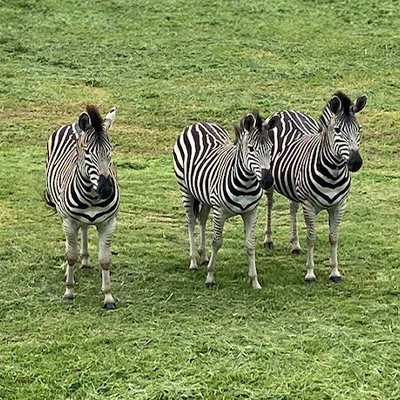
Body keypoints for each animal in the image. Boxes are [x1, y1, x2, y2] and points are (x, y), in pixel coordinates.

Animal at [46, 104, 119, 308]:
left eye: (110, 151)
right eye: (87, 152)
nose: (106, 188)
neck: (92, 197)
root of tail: (75, 125)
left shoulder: (108, 223)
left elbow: (105, 260)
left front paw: (108, 296)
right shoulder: (70, 221)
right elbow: (70, 256)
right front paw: (69, 291)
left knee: (85, 228)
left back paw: (85, 260)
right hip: (63, 216)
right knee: (70, 243)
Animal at [172, 111, 278, 290]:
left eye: (271, 148)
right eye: (251, 149)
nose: (268, 181)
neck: (246, 183)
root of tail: (199, 123)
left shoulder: (251, 212)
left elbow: (250, 245)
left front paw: (254, 281)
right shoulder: (220, 211)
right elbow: (216, 242)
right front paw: (210, 277)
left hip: (205, 196)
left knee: (202, 218)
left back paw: (203, 256)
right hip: (185, 189)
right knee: (191, 221)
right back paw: (193, 261)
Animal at [264, 92, 368, 282]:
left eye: (359, 129)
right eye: (337, 130)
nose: (356, 162)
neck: (333, 173)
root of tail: (286, 111)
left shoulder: (339, 205)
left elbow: (333, 238)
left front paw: (335, 272)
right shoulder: (309, 205)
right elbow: (311, 238)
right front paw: (310, 273)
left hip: (293, 187)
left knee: (292, 208)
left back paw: (295, 244)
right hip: (268, 178)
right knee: (269, 204)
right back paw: (268, 239)